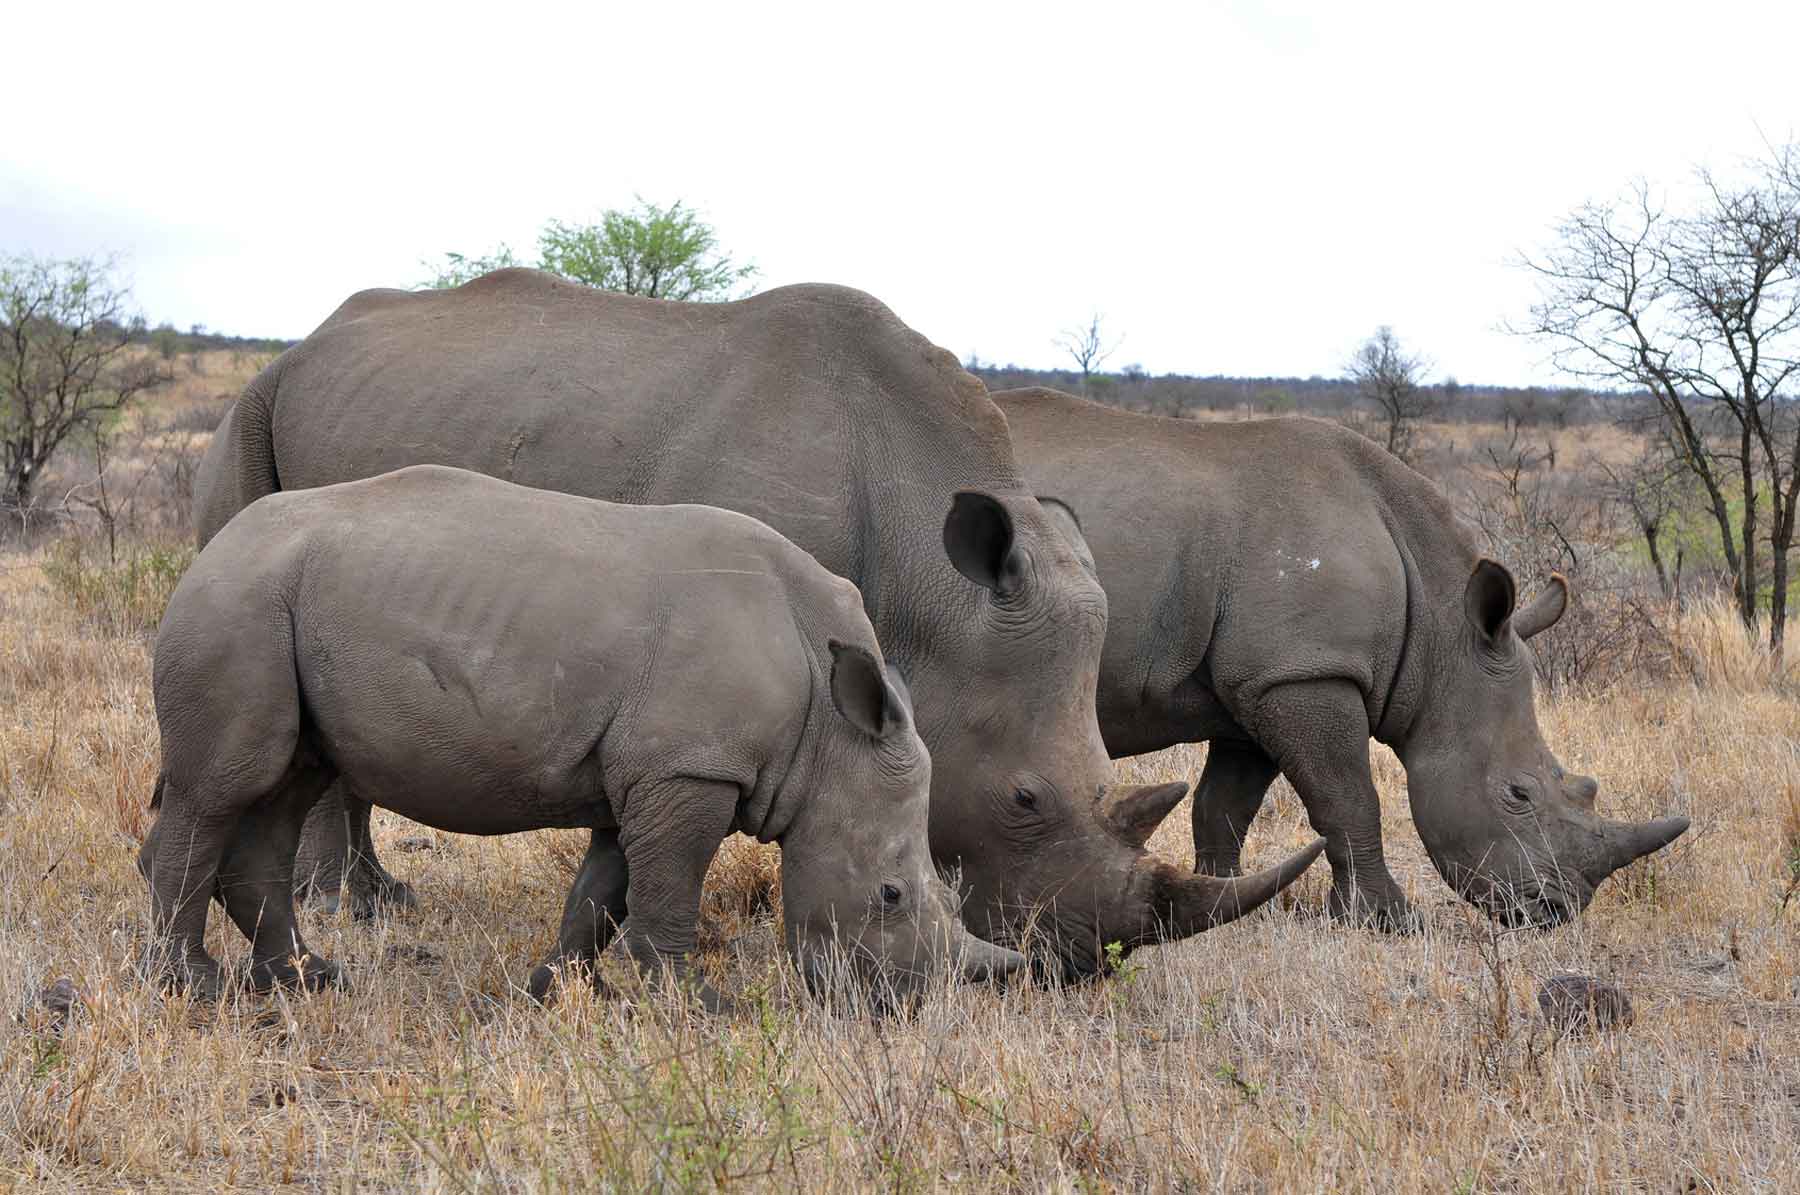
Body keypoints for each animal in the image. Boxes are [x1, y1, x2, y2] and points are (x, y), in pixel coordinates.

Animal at [142, 464, 1022, 1007]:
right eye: (891, 894)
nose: (898, 1006)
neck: (830, 736)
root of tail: (212, 545)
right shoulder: (690, 769)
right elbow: (667, 890)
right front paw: (701, 1006)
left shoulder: (644, 771)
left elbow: (603, 891)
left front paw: (554, 991)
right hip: (239, 600)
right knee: (223, 786)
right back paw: (193, 988)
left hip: (275, 602)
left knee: (287, 784)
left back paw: (308, 980)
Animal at [197, 273, 1324, 979]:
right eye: (1023, 799)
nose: (1083, 963)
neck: (926, 581)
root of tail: (304, 345)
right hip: (249, 419)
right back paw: (354, 908)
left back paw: (374, 900)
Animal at [1000, 386, 1684, 928]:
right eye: (1517, 793)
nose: (1558, 909)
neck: (1441, 632)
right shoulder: (1307, 673)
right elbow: (1350, 798)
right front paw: (1388, 921)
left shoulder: (1264, 679)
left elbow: (1223, 807)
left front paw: (1228, 902)